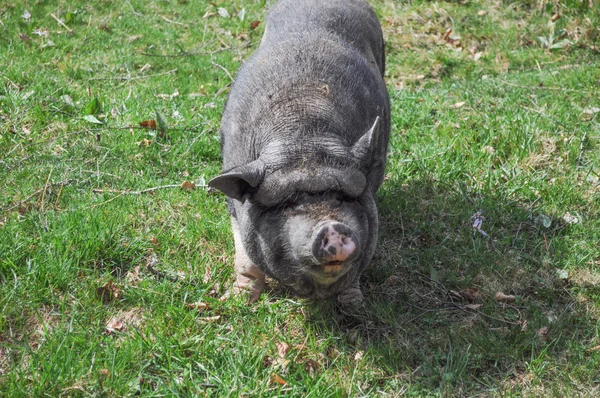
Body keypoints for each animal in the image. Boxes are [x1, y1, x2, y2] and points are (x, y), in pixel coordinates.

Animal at [209, 0, 392, 304]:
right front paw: (240, 300)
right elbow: (245, 258)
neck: (305, 137)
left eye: (343, 197)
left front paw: (354, 305)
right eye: (288, 204)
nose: (331, 227)